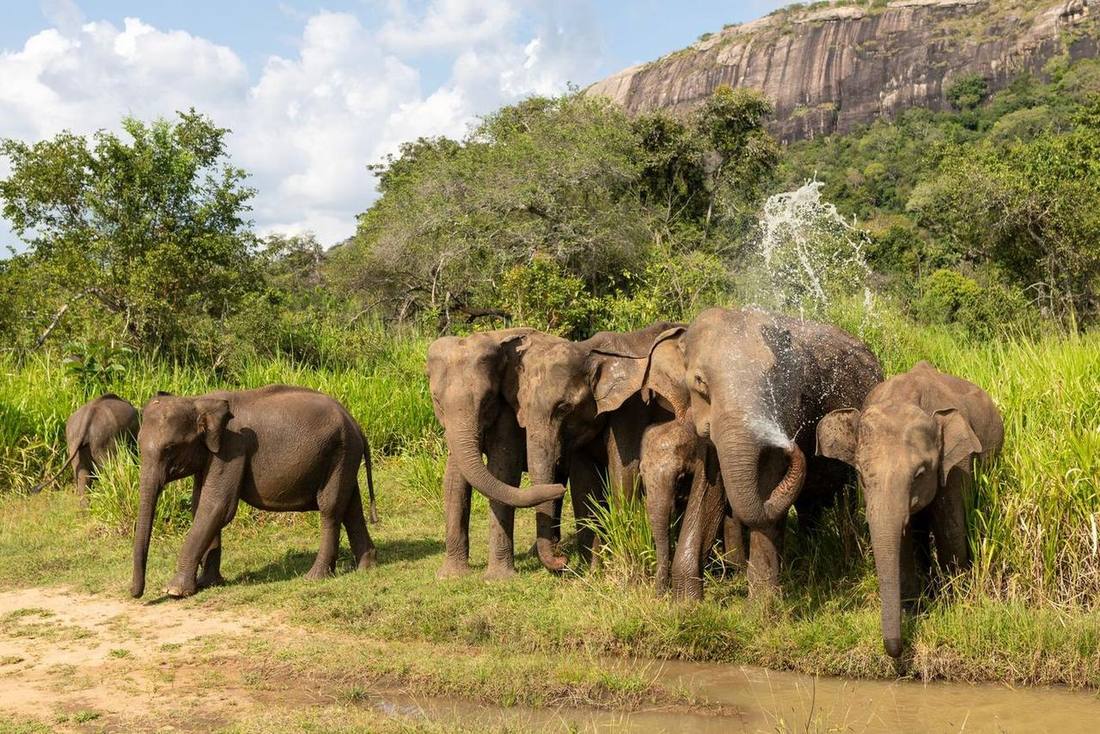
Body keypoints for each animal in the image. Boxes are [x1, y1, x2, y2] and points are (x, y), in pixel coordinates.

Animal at [130, 385, 378, 599]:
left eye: (170, 448)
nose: (135, 594)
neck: (198, 401)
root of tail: (356, 424)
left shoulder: (232, 448)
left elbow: (218, 506)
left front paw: (174, 591)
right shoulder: (212, 454)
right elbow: (200, 505)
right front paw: (207, 583)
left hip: (340, 452)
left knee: (330, 509)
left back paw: (314, 577)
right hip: (344, 455)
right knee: (351, 508)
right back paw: (366, 568)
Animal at [426, 329, 566, 580]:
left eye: (488, 400)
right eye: (437, 401)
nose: (558, 490)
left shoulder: (510, 410)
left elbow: (503, 473)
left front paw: (498, 579)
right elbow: (454, 480)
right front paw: (450, 576)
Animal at [643, 307, 883, 597]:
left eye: (773, 382)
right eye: (700, 382)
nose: (794, 445)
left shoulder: (788, 409)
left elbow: (768, 480)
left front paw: (761, 605)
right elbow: (707, 489)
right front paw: (686, 602)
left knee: (847, 498)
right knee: (809, 506)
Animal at [816, 361, 1004, 657]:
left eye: (920, 474)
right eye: (860, 474)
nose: (895, 649)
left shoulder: (956, 464)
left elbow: (950, 528)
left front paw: (953, 605)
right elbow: (902, 540)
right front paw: (913, 611)